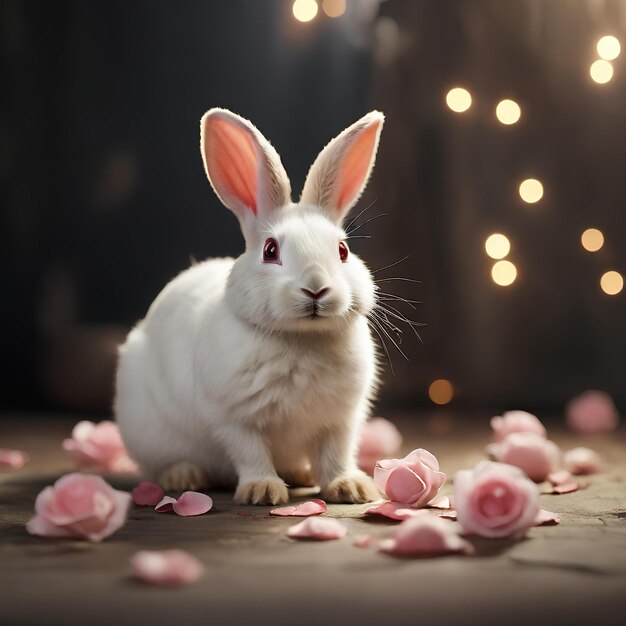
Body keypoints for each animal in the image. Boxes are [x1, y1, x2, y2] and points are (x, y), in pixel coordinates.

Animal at [114, 107, 382, 504]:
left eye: (343, 250)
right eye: (270, 250)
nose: (316, 289)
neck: (301, 339)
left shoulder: (341, 421)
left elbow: (336, 455)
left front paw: (351, 488)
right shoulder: (234, 418)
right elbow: (250, 453)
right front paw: (263, 491)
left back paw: (301, 474)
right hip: (152, 434)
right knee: (164, 465)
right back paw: (184, 478)